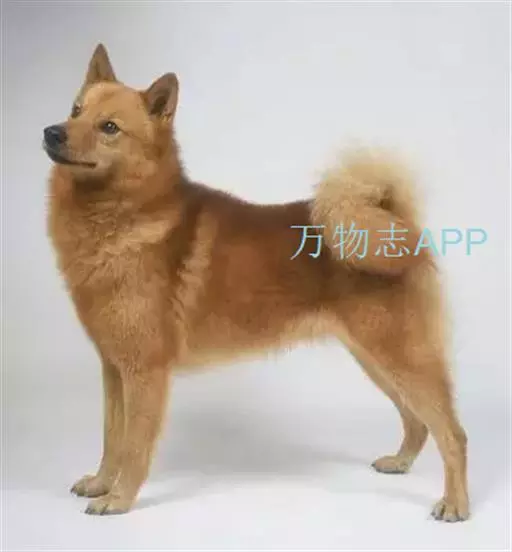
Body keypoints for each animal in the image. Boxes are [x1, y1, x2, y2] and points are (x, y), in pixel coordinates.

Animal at [43, 44, 469, 521]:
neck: (123, 218)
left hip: (402, 357)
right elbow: (111, 439)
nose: (51, 132)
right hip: (375, 359)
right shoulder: (114, 370)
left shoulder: (145, 372)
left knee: (452, 433)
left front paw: (118, 499)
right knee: (417, 421)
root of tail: (396, 222)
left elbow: (133, 448)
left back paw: (455, 503)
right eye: (75, 111)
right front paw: (101, 483)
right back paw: (399, 462)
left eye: (110, 127)